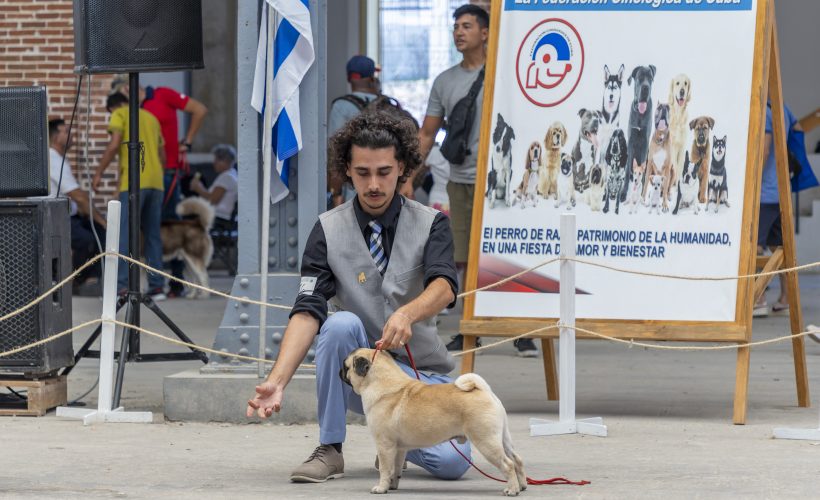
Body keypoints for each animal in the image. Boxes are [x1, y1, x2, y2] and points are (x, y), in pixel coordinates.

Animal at [342, 348, 524, 496]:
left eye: (345, 367)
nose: (339, 370)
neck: (382, 382)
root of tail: (485, 391)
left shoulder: (384, 445)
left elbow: (385, 469)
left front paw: (381, 488)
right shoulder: (399, 449)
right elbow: (396, 469)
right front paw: (392, 485)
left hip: (486, 442)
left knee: (508, 464)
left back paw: (512, 490)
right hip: (502, 439)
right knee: (516, 460)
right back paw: (522, 486)